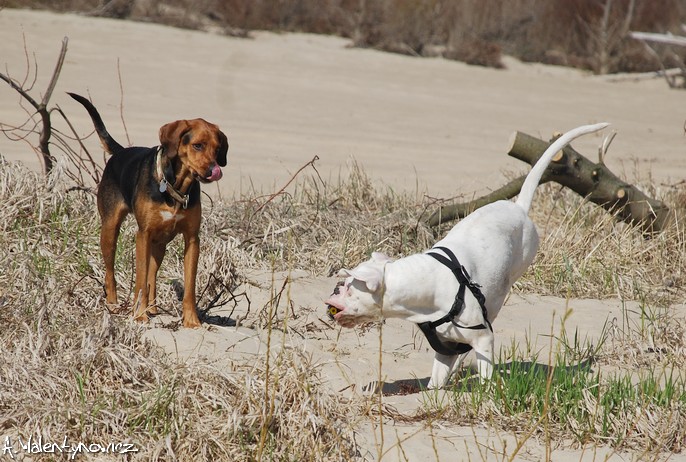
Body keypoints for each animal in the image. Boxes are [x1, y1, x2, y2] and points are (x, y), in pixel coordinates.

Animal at [71, 92, 230, 326]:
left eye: (217, 149)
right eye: (198, 145)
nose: (213, 170)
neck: (174, 186)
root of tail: (121, 152)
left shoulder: (192, 239)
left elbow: (189, 286)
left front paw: (191, 320)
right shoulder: (143, 235)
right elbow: (140, 279)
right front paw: (139, 315)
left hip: (160, 243)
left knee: (152, 276)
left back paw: (153, 308)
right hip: (110, 230)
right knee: (111, 271)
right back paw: (114, 303)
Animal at [328, 122, 612, 386]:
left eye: (350, 288)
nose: (335, 289)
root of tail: (519, 208)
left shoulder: (484, 338)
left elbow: (485, 374)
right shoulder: (444, 347)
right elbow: (437, 382)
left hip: (508, 282)